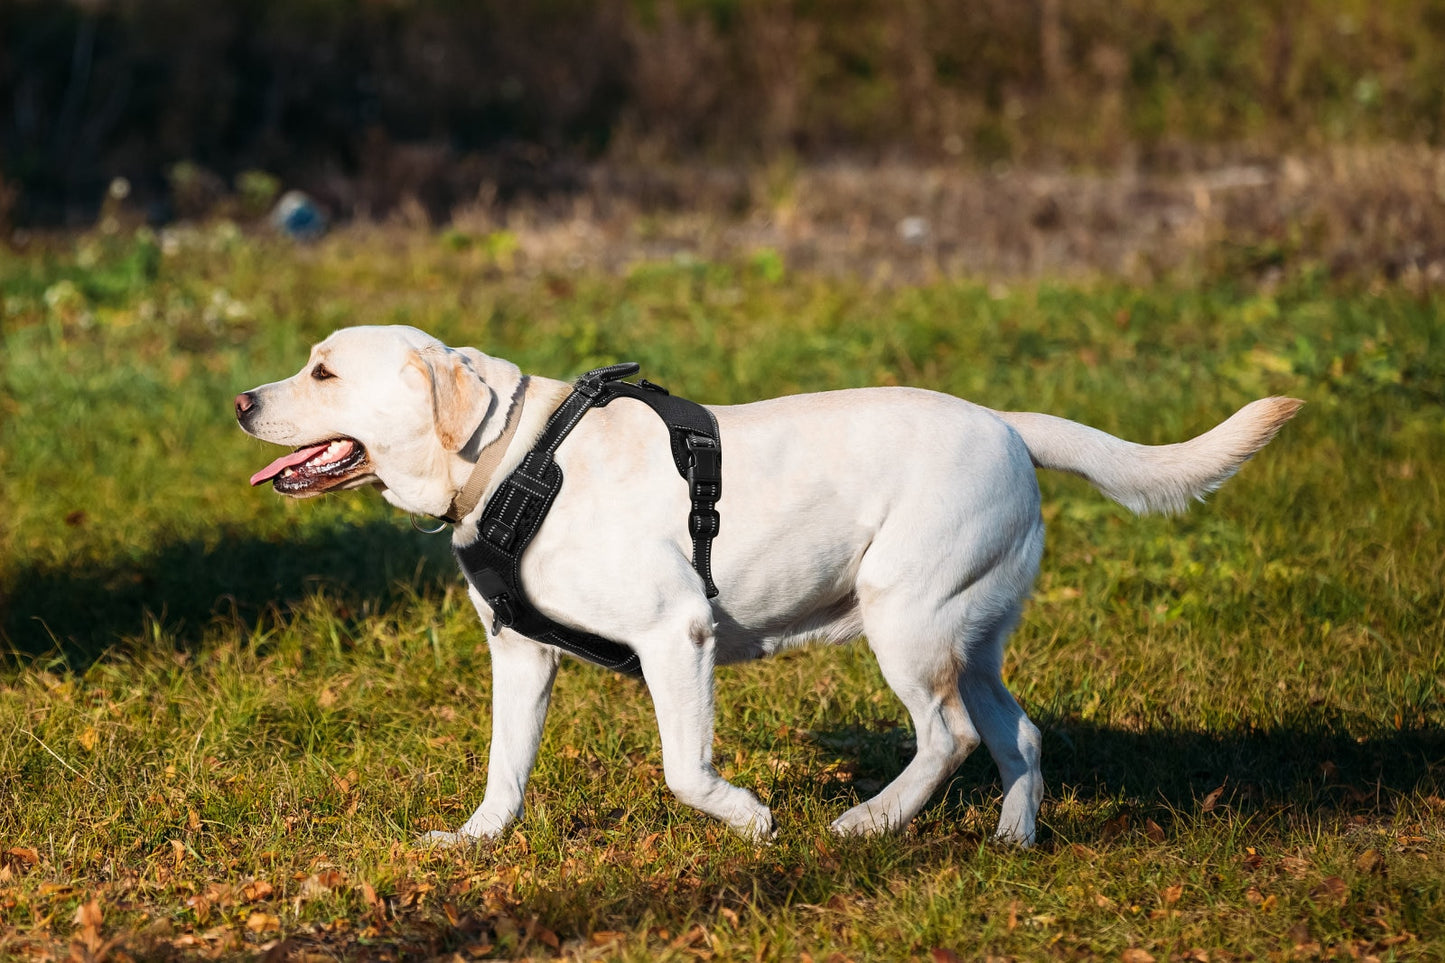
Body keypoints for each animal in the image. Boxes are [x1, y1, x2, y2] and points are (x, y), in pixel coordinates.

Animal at [234, 322, 1300, 838]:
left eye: (323, 372)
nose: (242, 401)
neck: (513, 460)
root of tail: (1005, 421)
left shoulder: (676, 635)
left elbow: (684, 769)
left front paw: (749, 818)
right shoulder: (521, 656)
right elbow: (505, 767)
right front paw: (477, 840)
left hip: (904, 621)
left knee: (947, 736)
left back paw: (869, 821)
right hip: (967, 636)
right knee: (1017, 733)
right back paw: (1010, 838)